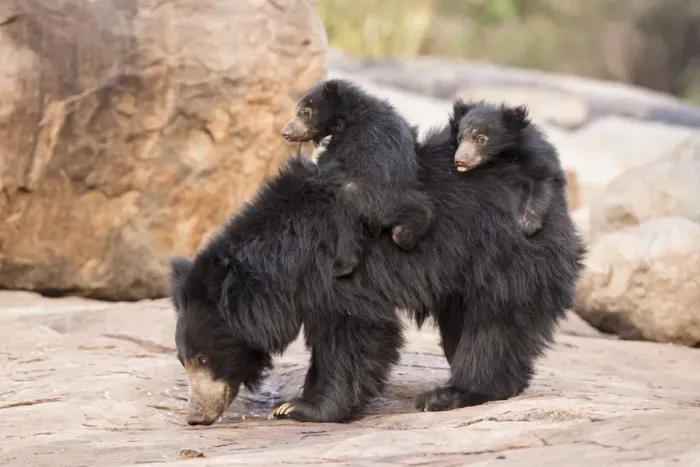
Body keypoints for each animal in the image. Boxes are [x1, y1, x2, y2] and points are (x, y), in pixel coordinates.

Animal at [280, 78, 434, 277]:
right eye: (297, 111)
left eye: (305, 113)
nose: (285, 132)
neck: (352, 108)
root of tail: (381, 218)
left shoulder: (345, 140)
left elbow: (327, 161)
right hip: (404, 196)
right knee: (424, 210)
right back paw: (403, 236)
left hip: (357, 198)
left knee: (346, 221)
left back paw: (342, 267)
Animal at [451, 100, 562, 236]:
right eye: (460, 137)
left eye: (481, 139)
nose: (460, 161)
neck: (504, 153)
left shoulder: (537, 158)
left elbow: (541, 183)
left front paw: (528, 225)